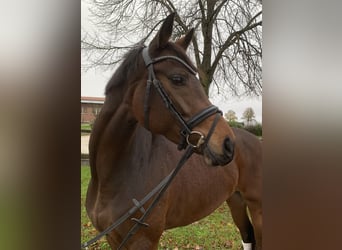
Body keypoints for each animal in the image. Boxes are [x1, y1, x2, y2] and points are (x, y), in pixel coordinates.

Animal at [86, 13, 262, 250]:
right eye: (178, 79)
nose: (227, 144)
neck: (109, 179)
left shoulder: (144, 240)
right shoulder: (113, 239)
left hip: (257, 206)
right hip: (236, 200)